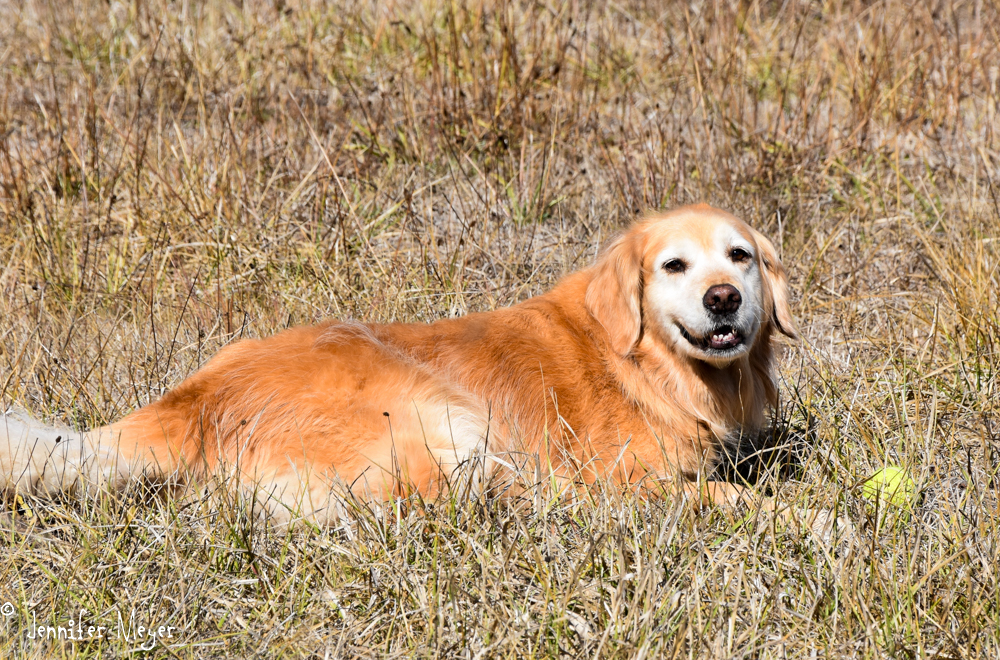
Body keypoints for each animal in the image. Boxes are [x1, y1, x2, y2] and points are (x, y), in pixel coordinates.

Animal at [0, 204, 796, 524]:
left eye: (739, 256)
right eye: (673, 265)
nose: (724, 300)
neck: (642, 359)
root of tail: (194, 397)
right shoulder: (627, 472)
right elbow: (736, 498)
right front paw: (809, 519)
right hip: (440, 415)